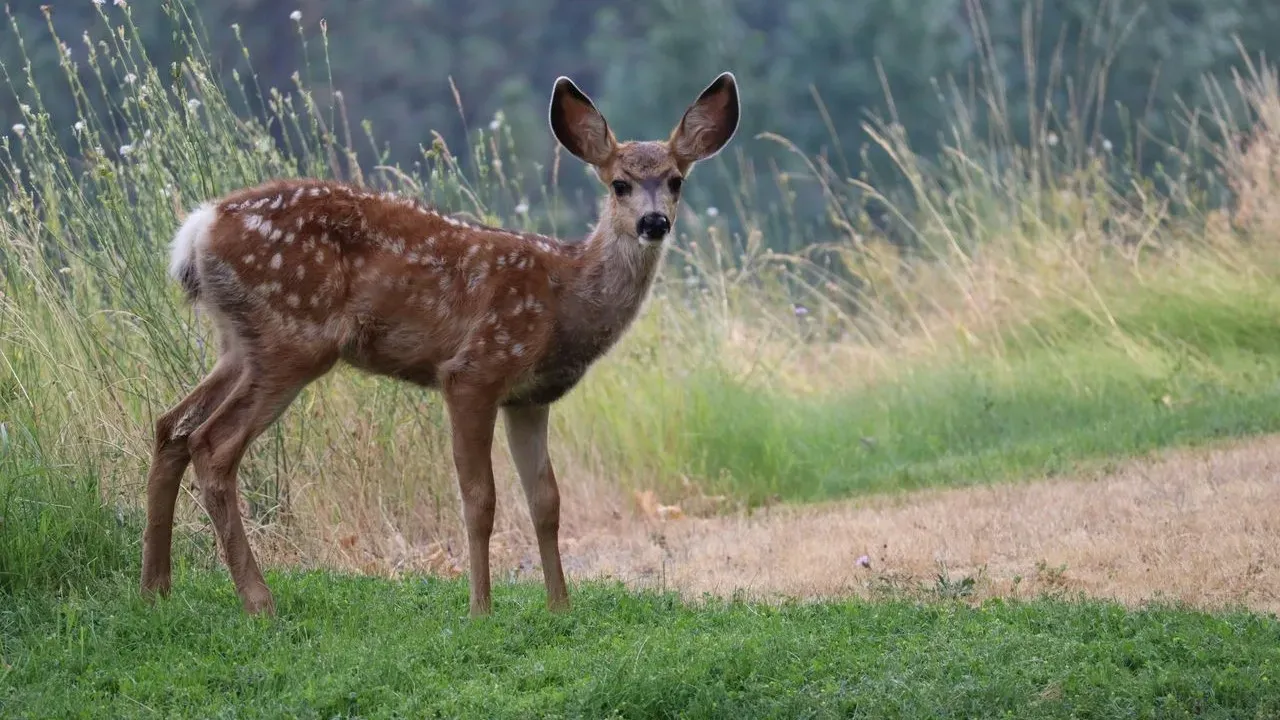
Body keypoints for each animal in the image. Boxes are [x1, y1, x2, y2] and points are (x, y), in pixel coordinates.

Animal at [140, 72, 741, 617]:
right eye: (619, 183)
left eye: (676, 180)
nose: (654, 222)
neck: (564, 296)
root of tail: (197, 229)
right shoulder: (475, 369)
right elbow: (480, 499)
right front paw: (481, 609)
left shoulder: (529, 397)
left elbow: (546, 500)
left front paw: (560, 607)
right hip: (294, 337)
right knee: (213, 444)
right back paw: (259, 601)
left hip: (239, 343)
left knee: (172, 427)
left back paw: (156, 588)